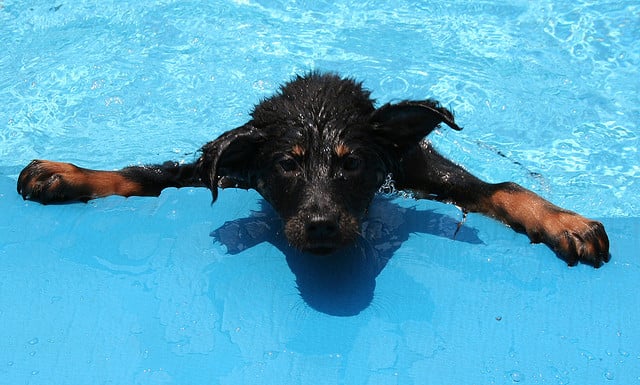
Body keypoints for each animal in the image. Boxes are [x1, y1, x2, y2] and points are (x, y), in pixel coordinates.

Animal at [17, 72, 608, 268]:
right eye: (286, 165)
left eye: (353, 165)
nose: (322, 227)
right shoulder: (232, 166)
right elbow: (145, 174)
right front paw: (64, 174)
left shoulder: (410, 167)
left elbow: (503, 187)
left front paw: (565, 222)